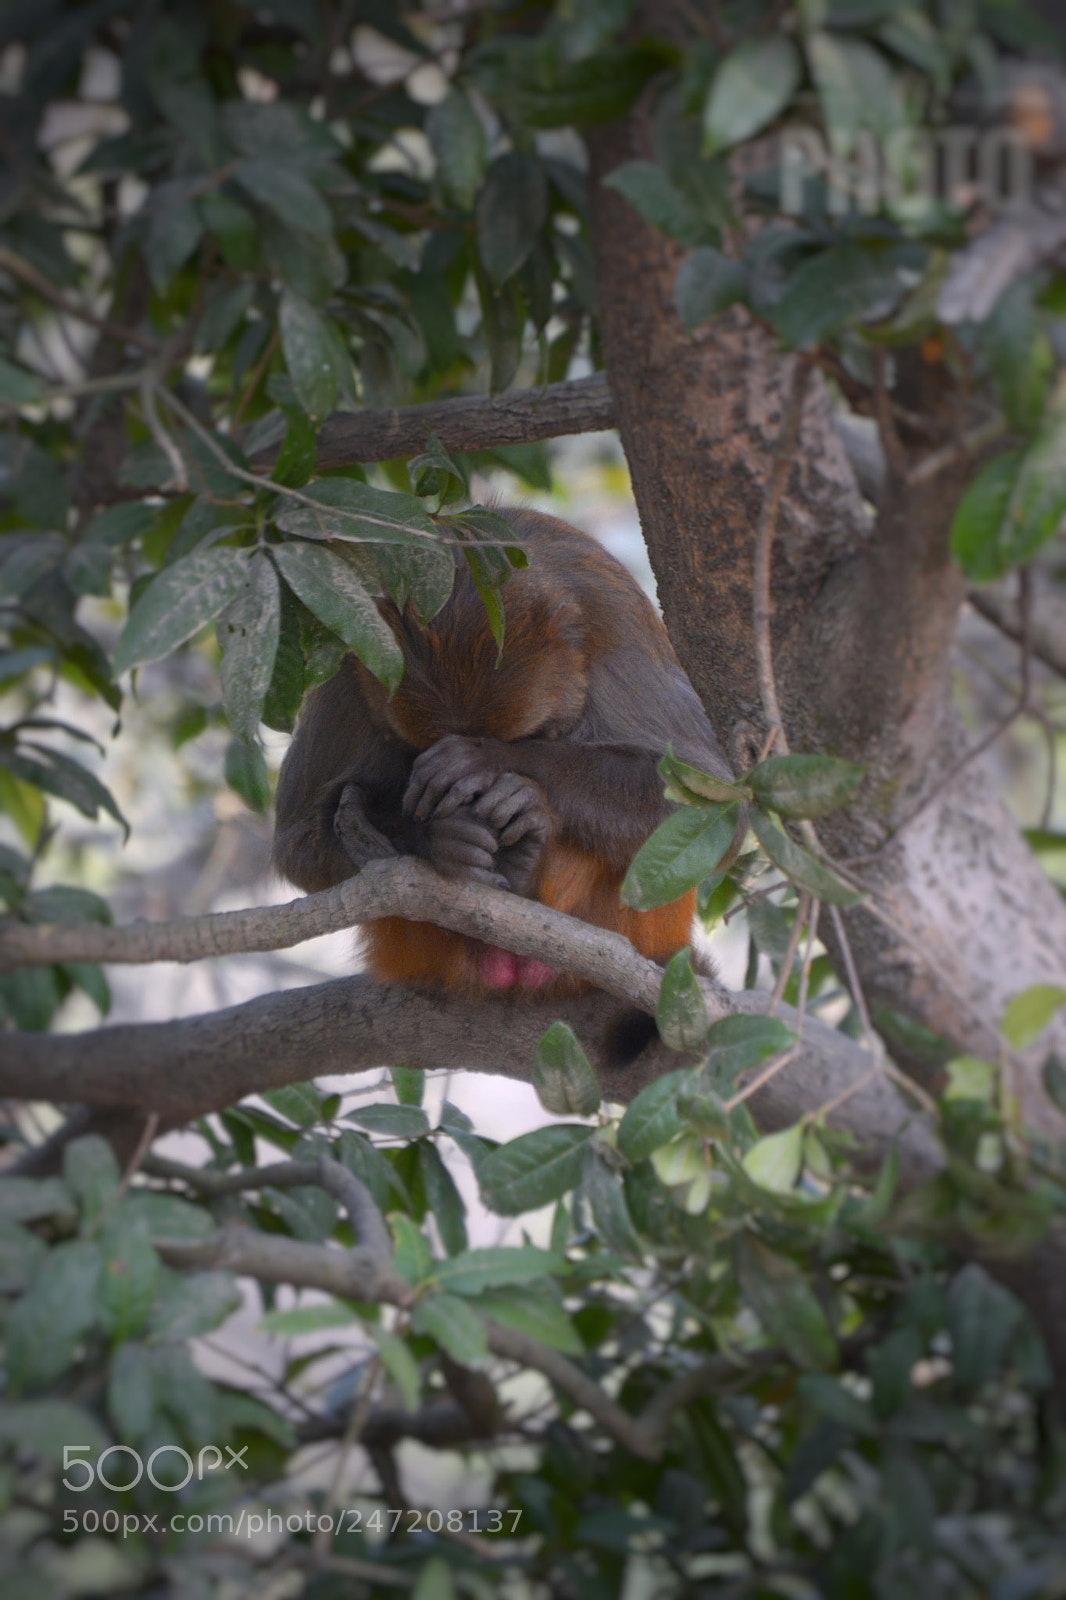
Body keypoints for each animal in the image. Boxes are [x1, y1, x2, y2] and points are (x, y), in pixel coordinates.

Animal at [273, 508, 734, 1000]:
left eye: (527, 738)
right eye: (413, 747)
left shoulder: (615, 624)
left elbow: (715, 804)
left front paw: (488, 763)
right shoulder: (347, 654)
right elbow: (297, 839)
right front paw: (440, 839)